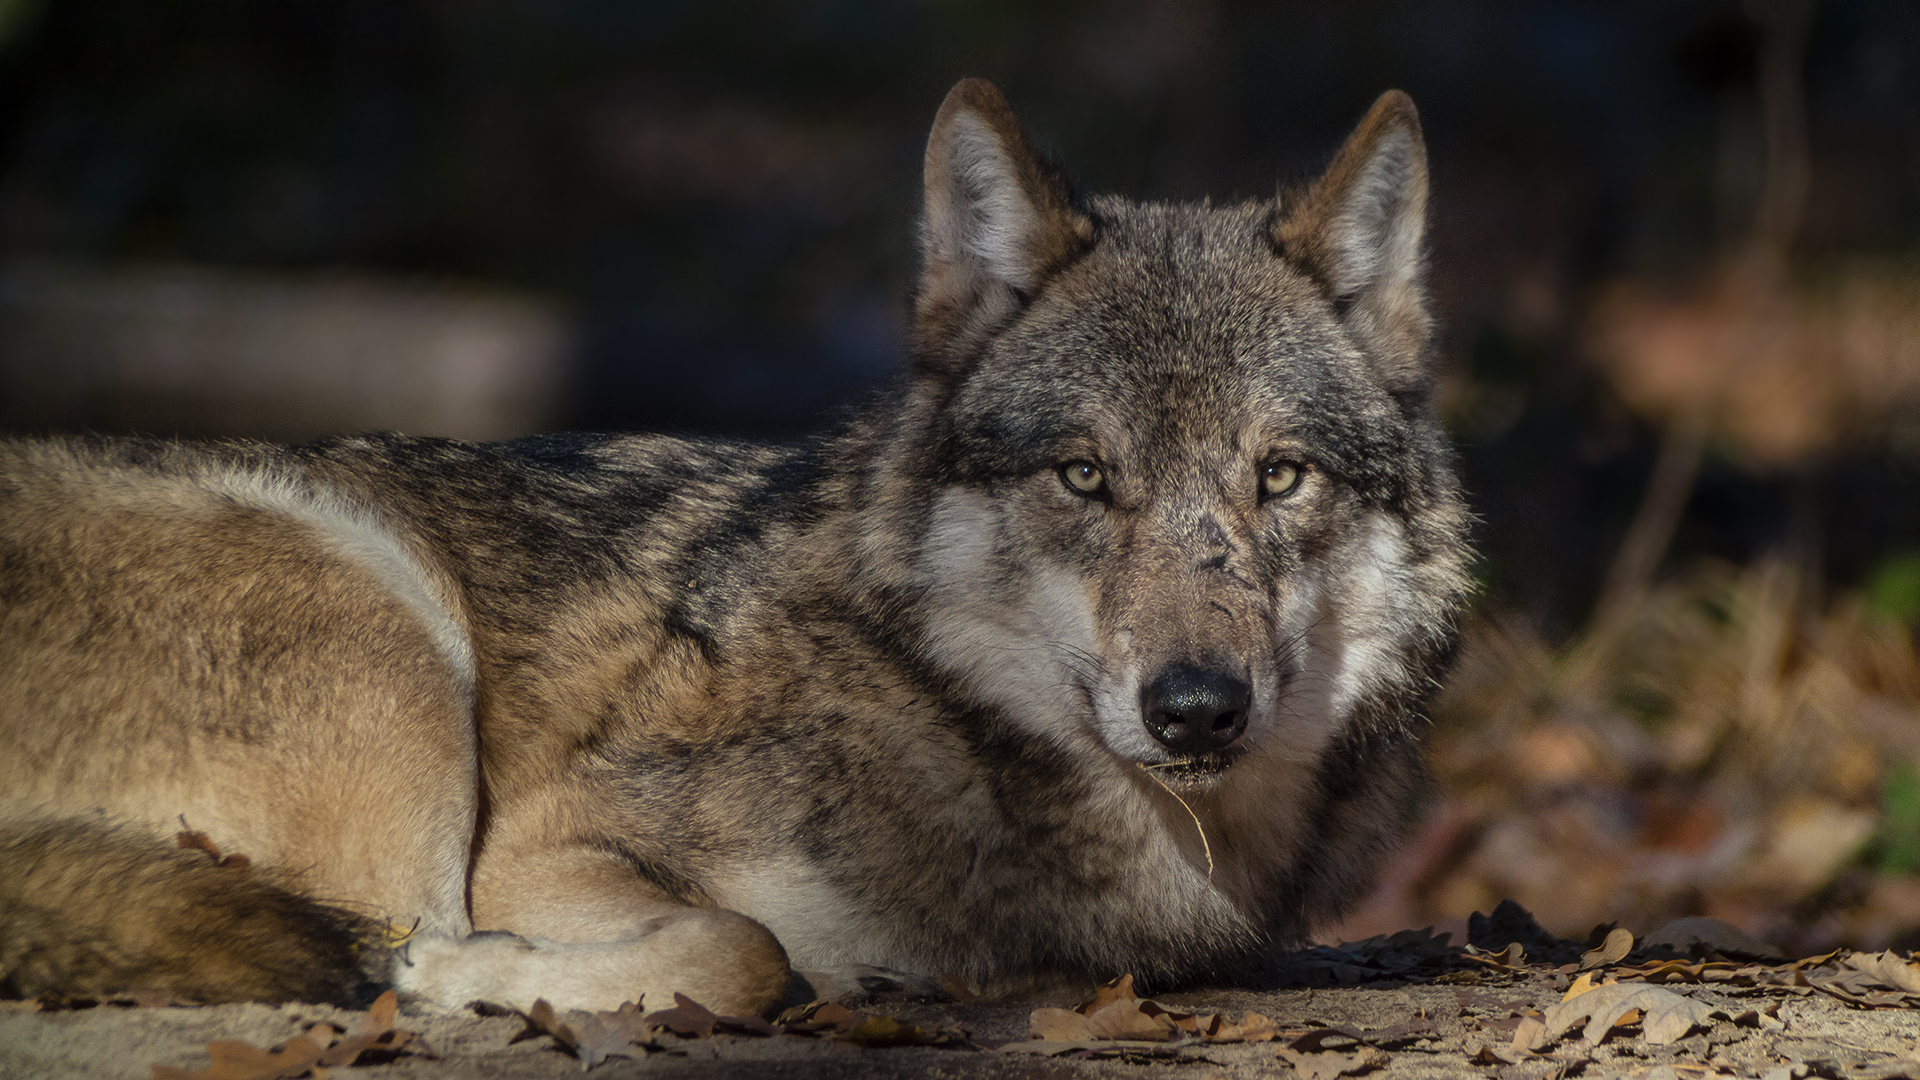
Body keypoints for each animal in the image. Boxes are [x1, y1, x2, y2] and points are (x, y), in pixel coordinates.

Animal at [0, 79, 1466, 1014]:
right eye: (1084, 476)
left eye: (1279, 476)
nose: (1198, 710)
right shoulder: (542, 842)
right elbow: (744, 947)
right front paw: (477, 979)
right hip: (385, 645)